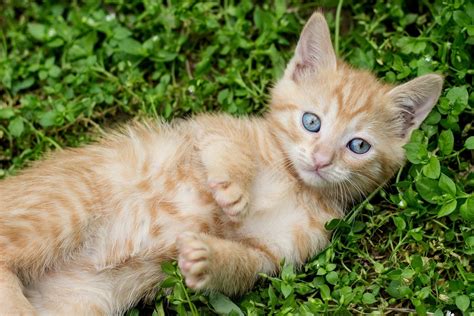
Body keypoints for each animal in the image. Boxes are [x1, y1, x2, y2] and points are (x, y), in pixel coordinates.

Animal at [0, 11, 440, 314]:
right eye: (311, 121)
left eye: (358, 145)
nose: (320, 159)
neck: (294, 182)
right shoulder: (208, 129)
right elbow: (229, 149)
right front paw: (232, 190)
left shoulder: (276, 253)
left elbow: (243, 265)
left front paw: (208, 260)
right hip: (65, 205)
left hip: (77, 300)